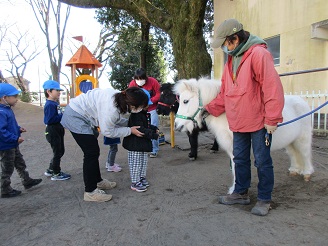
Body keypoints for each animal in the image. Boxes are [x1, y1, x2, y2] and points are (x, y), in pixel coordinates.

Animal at [176, 79, 314, 194]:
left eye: (185, 101)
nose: (177, 126)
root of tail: (302, 101)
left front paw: (236, 190)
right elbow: (235, 167)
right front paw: (236, 189)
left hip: (303, 139)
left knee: (305, 154)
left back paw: (307, 174)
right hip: (290, 142)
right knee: (294, 154)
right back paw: (294, 170)